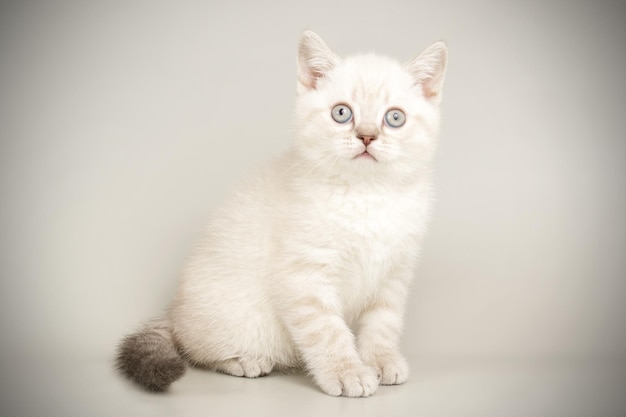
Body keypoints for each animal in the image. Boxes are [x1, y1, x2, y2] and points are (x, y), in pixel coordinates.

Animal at [117, 30, 446, 396]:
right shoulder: (304, 276)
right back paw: (245, 360)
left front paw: (381, 361)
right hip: (239, 319)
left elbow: (383, 324)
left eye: (395, 118)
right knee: (197, 348)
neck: (367, 195)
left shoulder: (393, 275)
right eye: (342, 113)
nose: (367, 136)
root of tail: (174, 312)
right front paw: (347, 372)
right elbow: (328, 331)